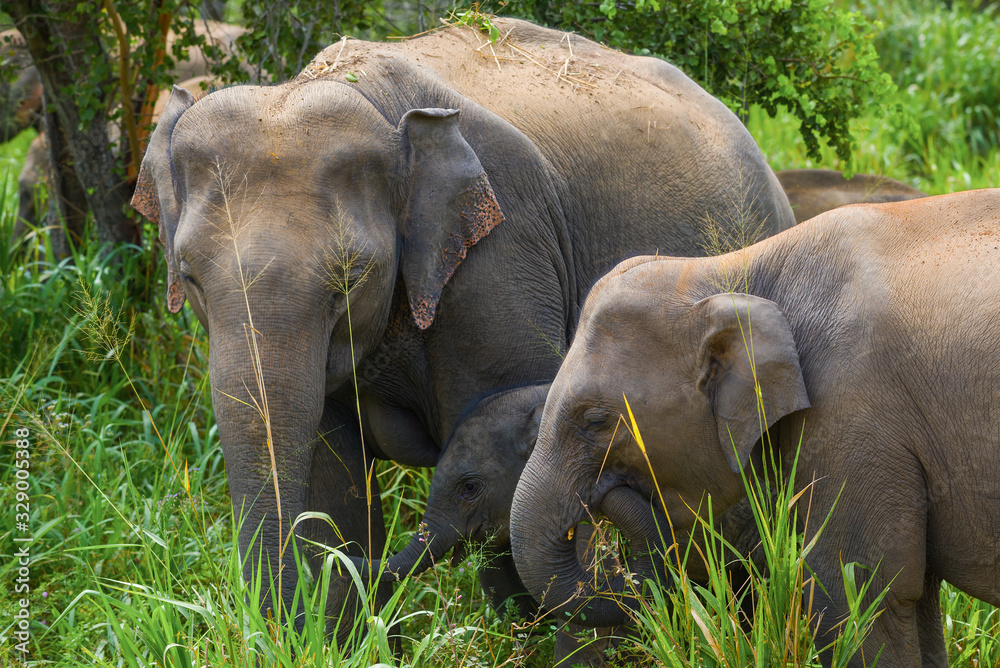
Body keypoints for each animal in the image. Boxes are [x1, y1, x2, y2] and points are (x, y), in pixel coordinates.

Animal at [510, 189, 1000, 666]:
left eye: (595, 421)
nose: (603, 496)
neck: (734, 271)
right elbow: (915, 603)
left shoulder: (854, 413)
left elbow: (858, 594)